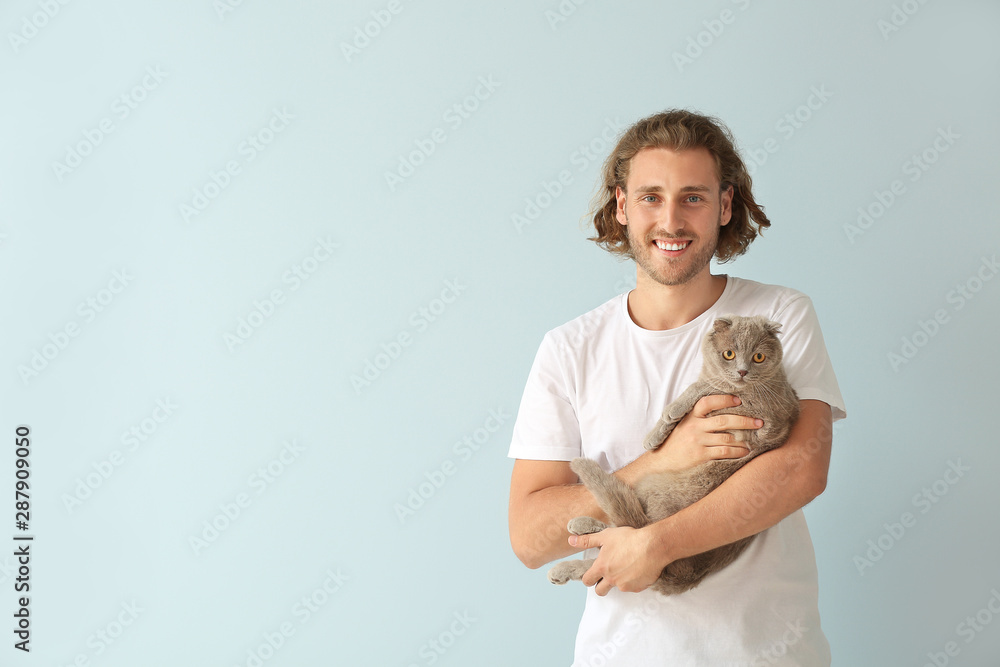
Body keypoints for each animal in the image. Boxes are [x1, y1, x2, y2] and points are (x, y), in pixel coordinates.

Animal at [548, 316, 796, 596]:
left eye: (758, 357)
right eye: (729, 354)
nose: (742, 372)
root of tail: (688, 571)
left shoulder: (763, 414)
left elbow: (707, 386)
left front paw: (669, 414)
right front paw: (657, 434)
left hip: (654, 489)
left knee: (626, 536)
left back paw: (567, 558)